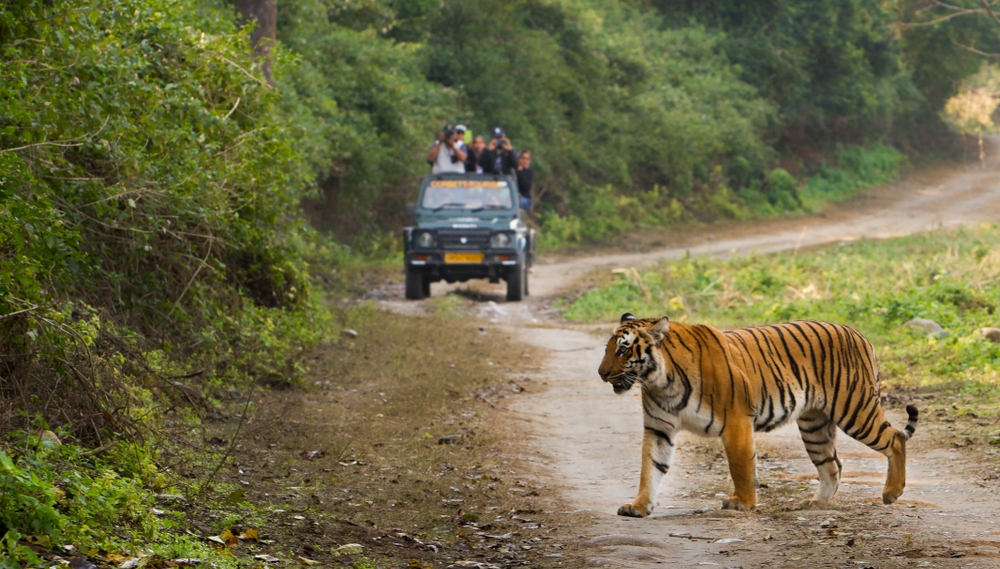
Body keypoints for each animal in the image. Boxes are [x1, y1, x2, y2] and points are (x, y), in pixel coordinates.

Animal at [596, 312, 916, 516]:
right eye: (608, 348)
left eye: (624, 350)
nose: (601, 373)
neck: (660, 382)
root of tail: (860, 334)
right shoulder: (659, 428)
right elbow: (650, 468)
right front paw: (638, 506)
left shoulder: (736, 420)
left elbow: (741, 466)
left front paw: (743, 503)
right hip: (814, 425)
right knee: (832, 465)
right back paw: (816, 503)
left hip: (855, 408)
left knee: (895, 438)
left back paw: (892, 492)